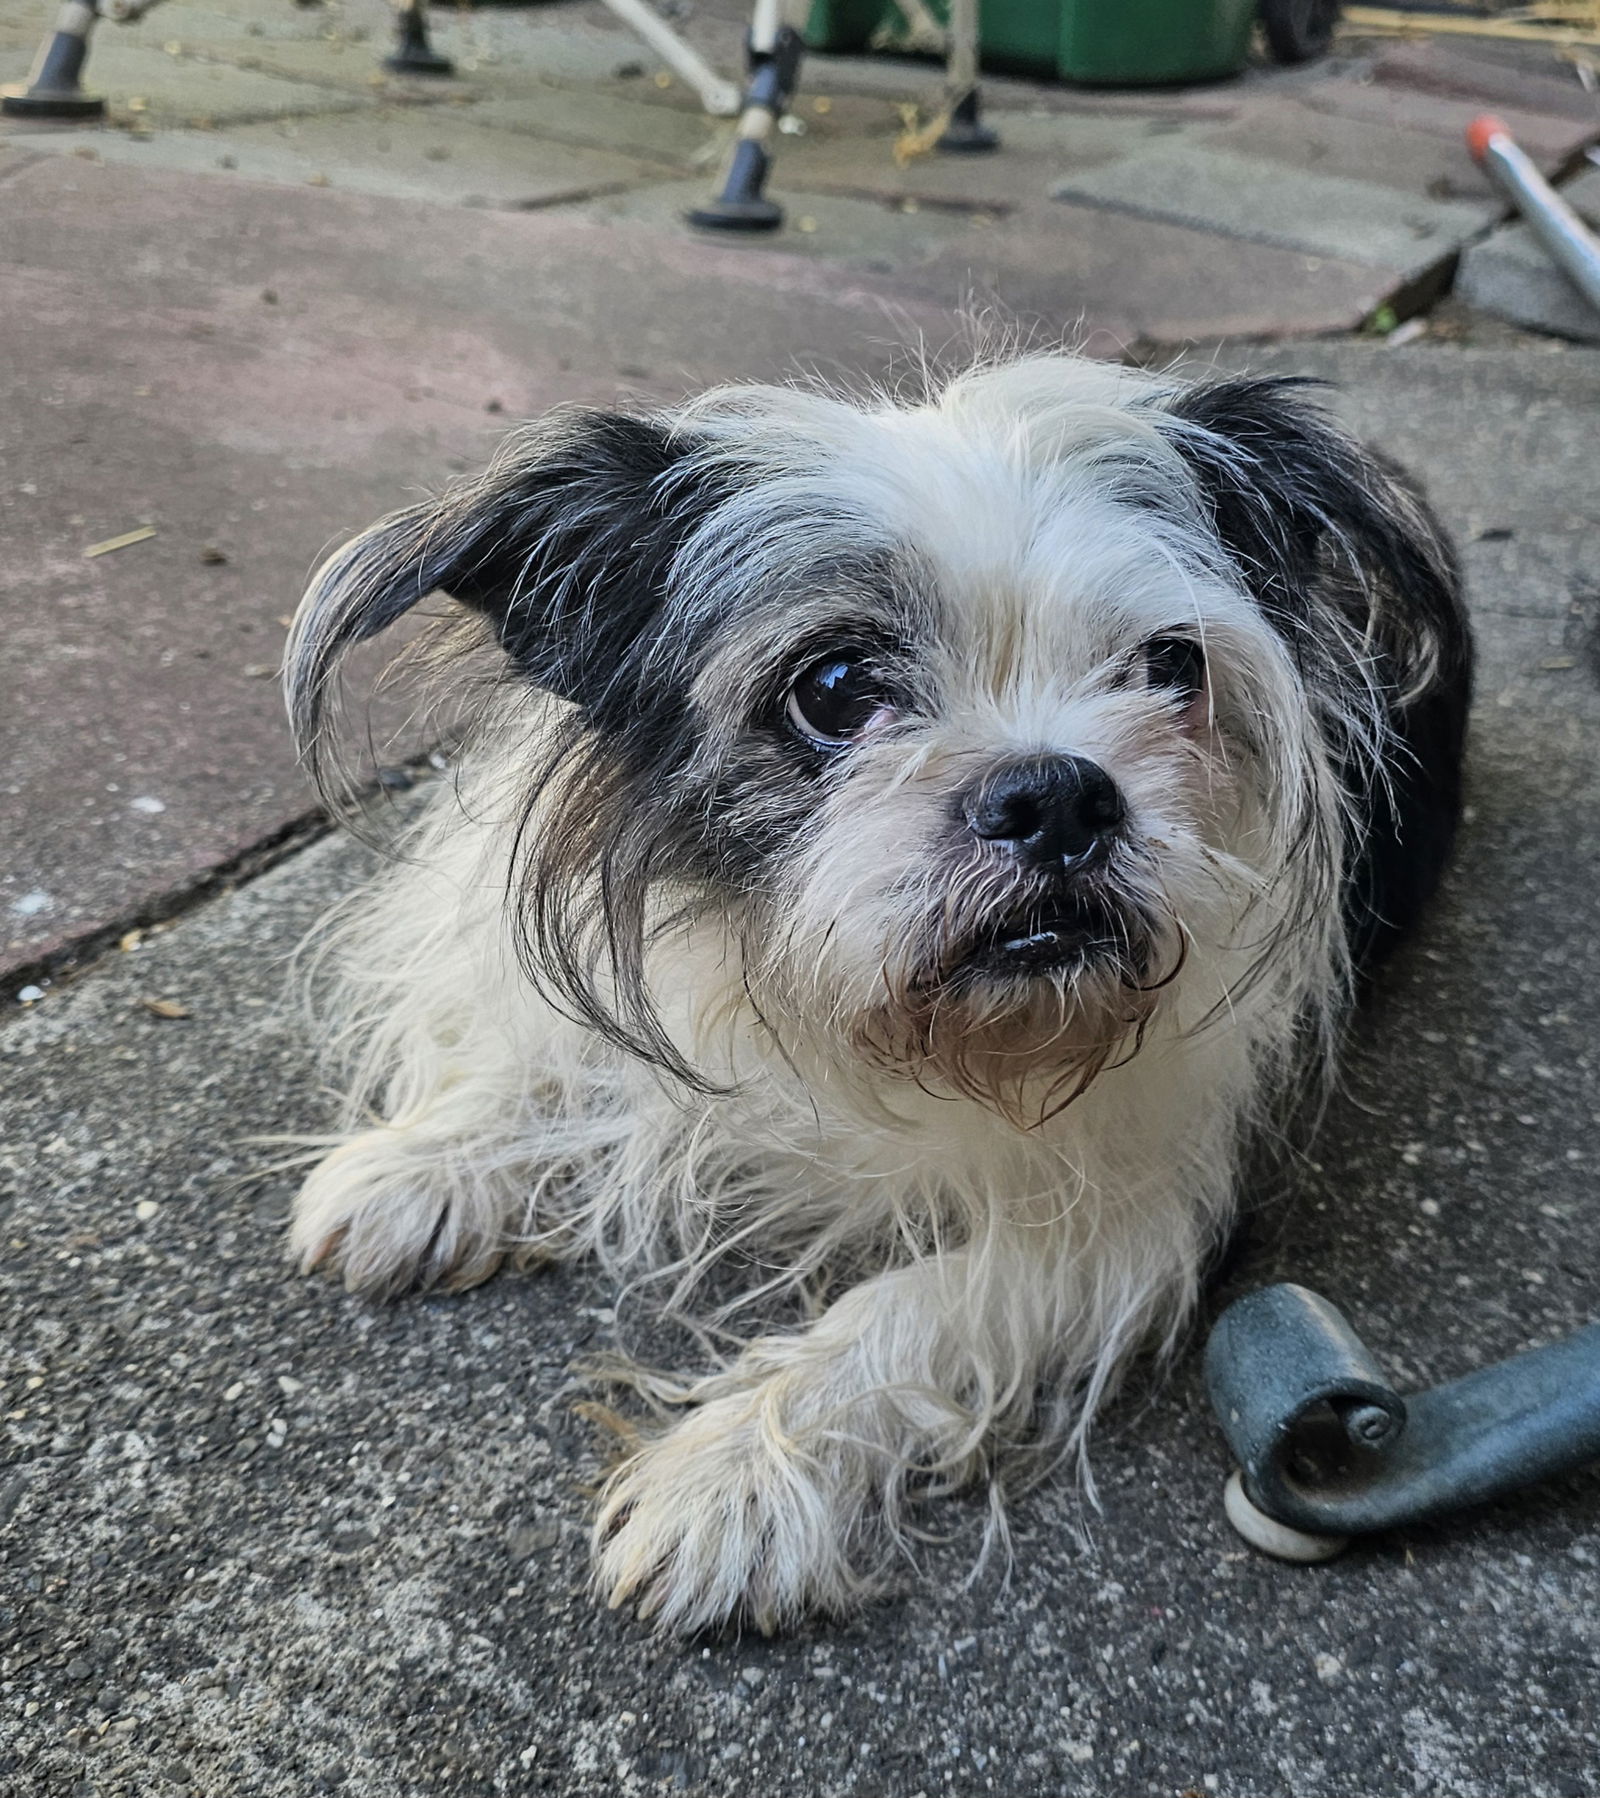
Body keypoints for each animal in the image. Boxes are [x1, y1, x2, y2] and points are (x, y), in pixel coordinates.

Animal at [280, 347, 1466, 1632]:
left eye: (1170, 666)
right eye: (836, 685)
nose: (1060, 793)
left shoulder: (1137, 1219)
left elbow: (909, 1311)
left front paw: (738, 1469)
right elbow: (563, 1062)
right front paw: (429, 1159)